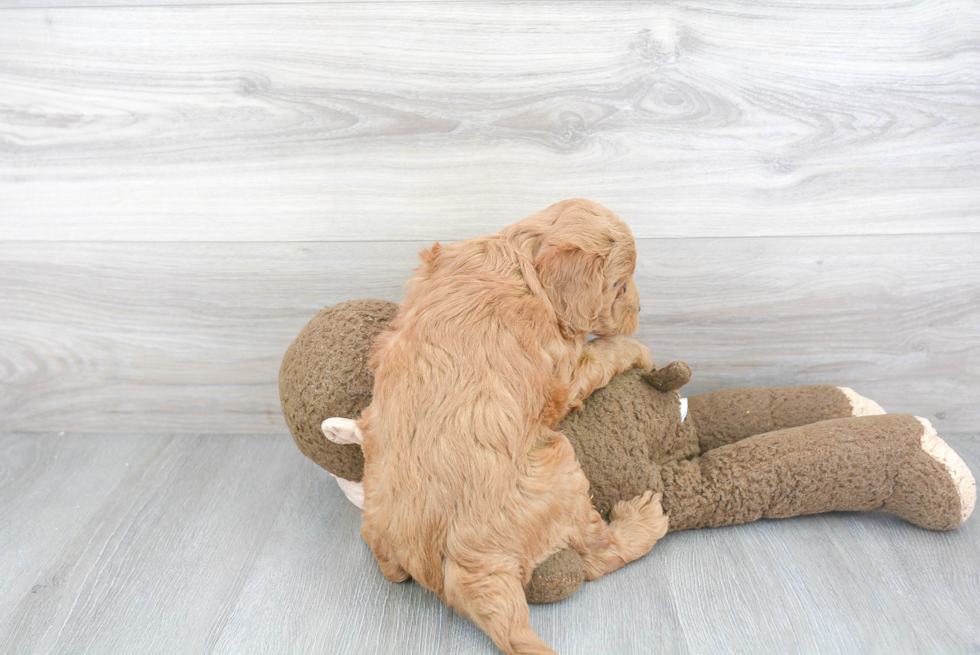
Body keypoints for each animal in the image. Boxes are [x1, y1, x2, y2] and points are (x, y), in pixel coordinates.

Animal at [356, 200, 668, 655]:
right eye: (620, 286)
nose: (642, 310)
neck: (520, 260)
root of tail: (468, 568)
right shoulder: (564, 373)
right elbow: (602, 353)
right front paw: (638, 350)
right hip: (562, 473)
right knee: (597, 554)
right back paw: (641, 522)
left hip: (376, 510)